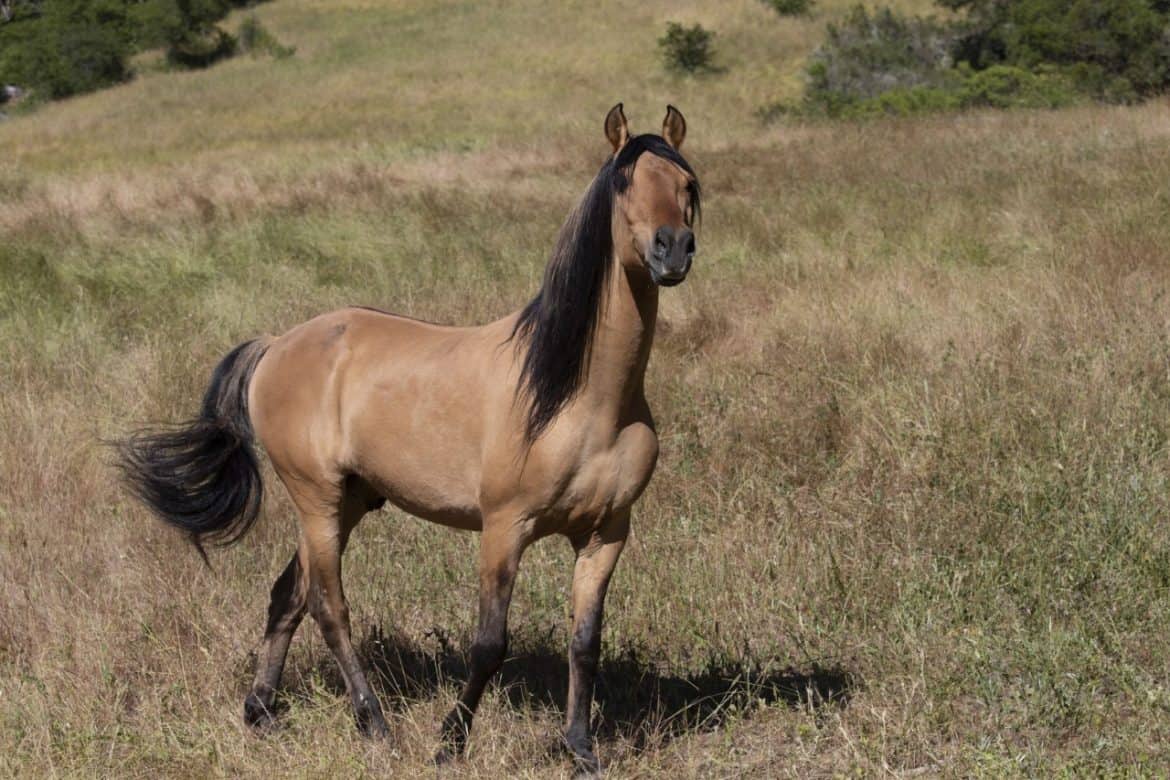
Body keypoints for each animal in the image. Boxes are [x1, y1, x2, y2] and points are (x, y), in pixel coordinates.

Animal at [117, 103, 700, 776]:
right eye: (624, 183)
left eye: (688, 184)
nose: (673, 249)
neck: (581, 398)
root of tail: (276, 345)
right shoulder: (505, 527)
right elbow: (489, 643)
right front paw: (451, 741)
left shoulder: (606, 533)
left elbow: (586, 641)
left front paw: (580, 749)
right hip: (316, 500)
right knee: (328, 607)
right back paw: (375, 724)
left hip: (349, 500)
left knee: (288, 594)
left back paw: (260, 711)